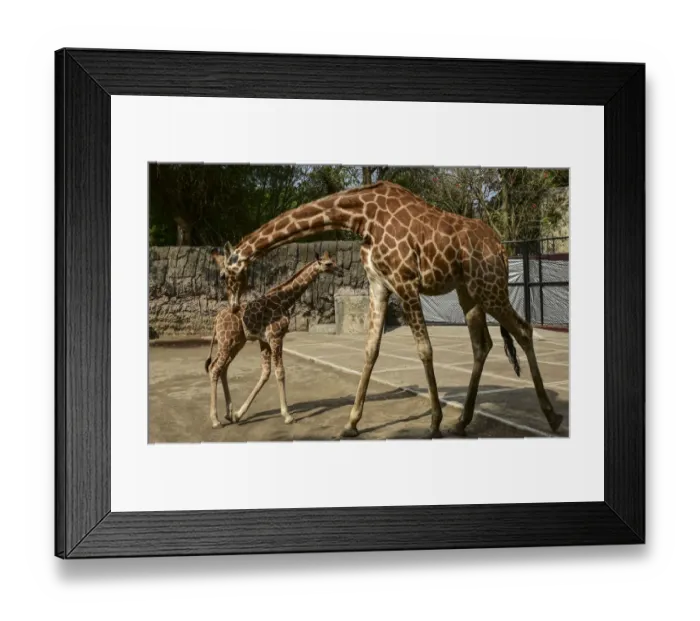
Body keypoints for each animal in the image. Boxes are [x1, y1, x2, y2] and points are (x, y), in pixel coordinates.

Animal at [204, 251, 341, 429]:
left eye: (334, 261)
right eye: (329, 264)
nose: (341, 271)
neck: (285, 300)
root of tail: (216, 320)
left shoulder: (264, 341)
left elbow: (266, 372)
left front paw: (238, 414)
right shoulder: (276, 337)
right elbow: (280, 372)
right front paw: (287, 416)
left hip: (237, 343)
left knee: (223, 368)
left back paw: (228, 413)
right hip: (226, 342)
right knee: (214, 368)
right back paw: (215, 420)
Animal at [220, 181, 563, 439]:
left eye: (223, 275)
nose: (234, 307)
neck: (362, 216)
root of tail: (501, 247)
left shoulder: (405, 281)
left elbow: (424, 349)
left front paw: (434, 422)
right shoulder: (379, 283)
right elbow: (371, 349)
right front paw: (351, 423)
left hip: (488, 286)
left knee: (523, 330)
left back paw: (552, 417)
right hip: (468, 290)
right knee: (483, 344)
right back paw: (462, 421)